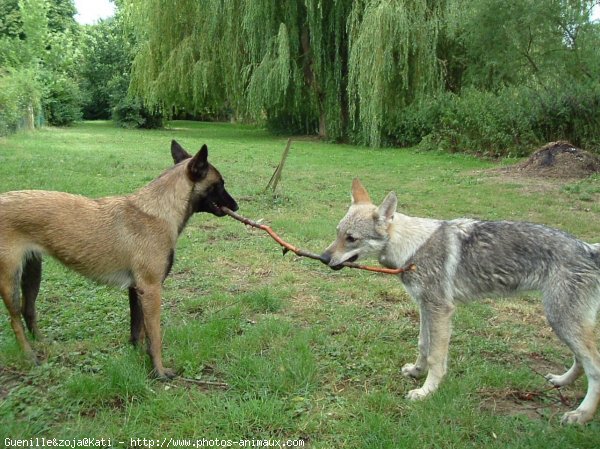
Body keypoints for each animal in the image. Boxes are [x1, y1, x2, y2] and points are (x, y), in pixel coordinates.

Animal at [0, 141, 239, 378]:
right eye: (220, 184)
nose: (236, 206)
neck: (159, 211)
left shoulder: (136, 290)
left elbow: (138, 331)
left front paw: (138, 357)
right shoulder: (151, 290)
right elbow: (155, 337)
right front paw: (159, 371)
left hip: (32, 271)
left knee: (28, 310)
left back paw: (43, 344)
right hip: (10, 281)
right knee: (15, 319)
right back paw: (30, 356)